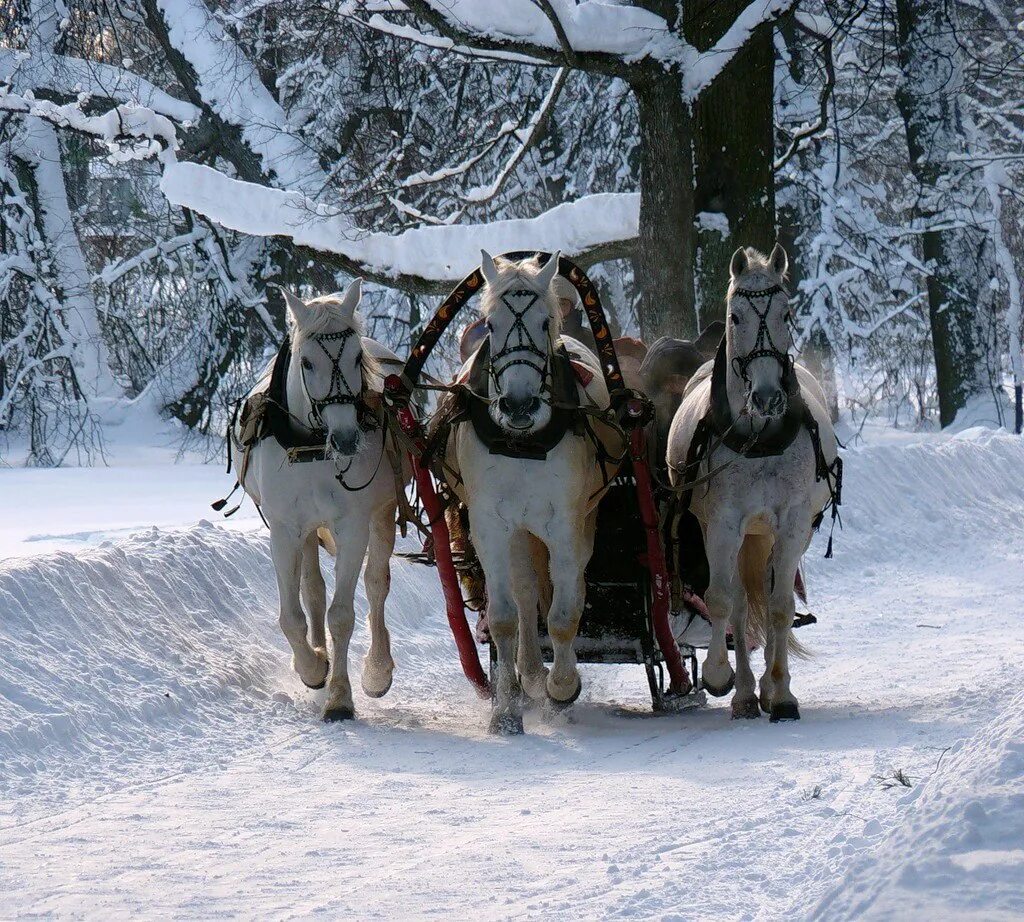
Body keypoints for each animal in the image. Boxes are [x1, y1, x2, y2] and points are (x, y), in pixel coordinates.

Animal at [234, 278, 405, 721]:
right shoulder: (284, 530)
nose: (346, 439)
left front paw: (341, 698)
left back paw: (377, 669)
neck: (312, 448)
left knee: (377, 584)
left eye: (357, 357)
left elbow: (342, 615)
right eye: (307, 363)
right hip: (308, 529)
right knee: (313, 588)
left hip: (382, 513)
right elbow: (292, 616)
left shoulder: (353, 526)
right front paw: (313, 668)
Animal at [446, 249, 606, 733]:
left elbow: (563, 616)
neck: (523, 444)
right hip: (518, 530)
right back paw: (529, 676)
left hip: (581, 521)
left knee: (570, 586)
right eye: (490, 324)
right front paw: (507, 710)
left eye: (545, 321)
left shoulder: (564, 524)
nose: (518, 405)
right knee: (525, 592)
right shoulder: (490, 526)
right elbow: (505, 616)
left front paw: (562, 687)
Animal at [663, 248, 839, 725]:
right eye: (735, 316)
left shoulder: (794, 523)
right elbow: (724, 600)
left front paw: (781, 694)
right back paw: (745, 690)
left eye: (787, 312)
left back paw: (768, 688)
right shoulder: (723, 524)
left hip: (776, 532)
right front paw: (722, 677)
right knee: (742, 603)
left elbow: (779, 606)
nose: (767, 397)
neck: (758, 438)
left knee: (771, 589)